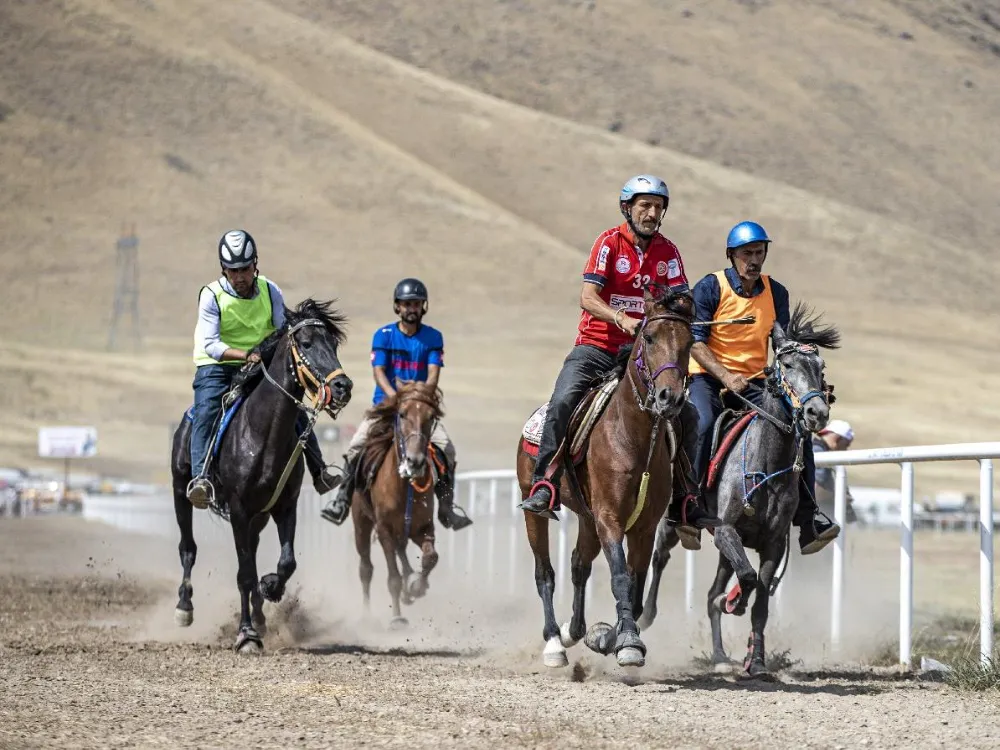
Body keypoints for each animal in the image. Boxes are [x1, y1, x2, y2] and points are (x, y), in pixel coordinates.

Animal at [168, 300, 348, 652]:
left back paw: (262, 616)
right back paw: (184, 608)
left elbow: (285, 562)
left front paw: (271, 588)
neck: (262, 432)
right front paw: (246, 634)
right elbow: (244, 574)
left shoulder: (284, 506)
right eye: (306, 343)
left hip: (258, 518)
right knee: (188, 548)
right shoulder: (239, 510)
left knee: (249, 552)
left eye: (333, 345)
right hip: (181, 491)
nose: (342, 386)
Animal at [354, 382, 444, 628]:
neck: (405, 486)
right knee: (366, 568)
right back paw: (366, 615)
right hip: (361, 522)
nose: (415, 461)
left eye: (431, 416)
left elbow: (431, 558)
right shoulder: (384, 528)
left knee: (401, 551)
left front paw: (416, 586)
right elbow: (392, 576)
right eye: (402, 414)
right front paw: (397, 617)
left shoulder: (424, 527)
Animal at [516, 288, 696, 668]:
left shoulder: (642, 527)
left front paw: (607, 637)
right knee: (544, 573)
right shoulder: (610, 518)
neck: (634, 439)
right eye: (649, 337)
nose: (669, 398)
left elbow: (635, 590)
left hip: (587, 519)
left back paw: (574, 631)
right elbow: (619, 577)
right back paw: (554, 642)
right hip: (534, 505)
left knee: (578, 565)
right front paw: (627, 643)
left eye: (689, 342)